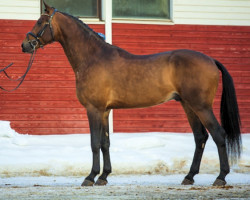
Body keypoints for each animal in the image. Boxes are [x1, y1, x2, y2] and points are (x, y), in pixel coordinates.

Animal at [22, 1, 242, 186]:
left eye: (40, 22)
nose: (25, 45)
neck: (93, 57)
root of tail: (211, 60)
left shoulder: (94, 109)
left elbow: (94, 143)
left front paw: (90, 177)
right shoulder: (105, 111)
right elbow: (105, 143)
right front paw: (104, 176)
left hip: (201, 106)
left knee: (218, 134)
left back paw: (221, 177)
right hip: (188, 105)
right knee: (200, 137)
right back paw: (189, 177)